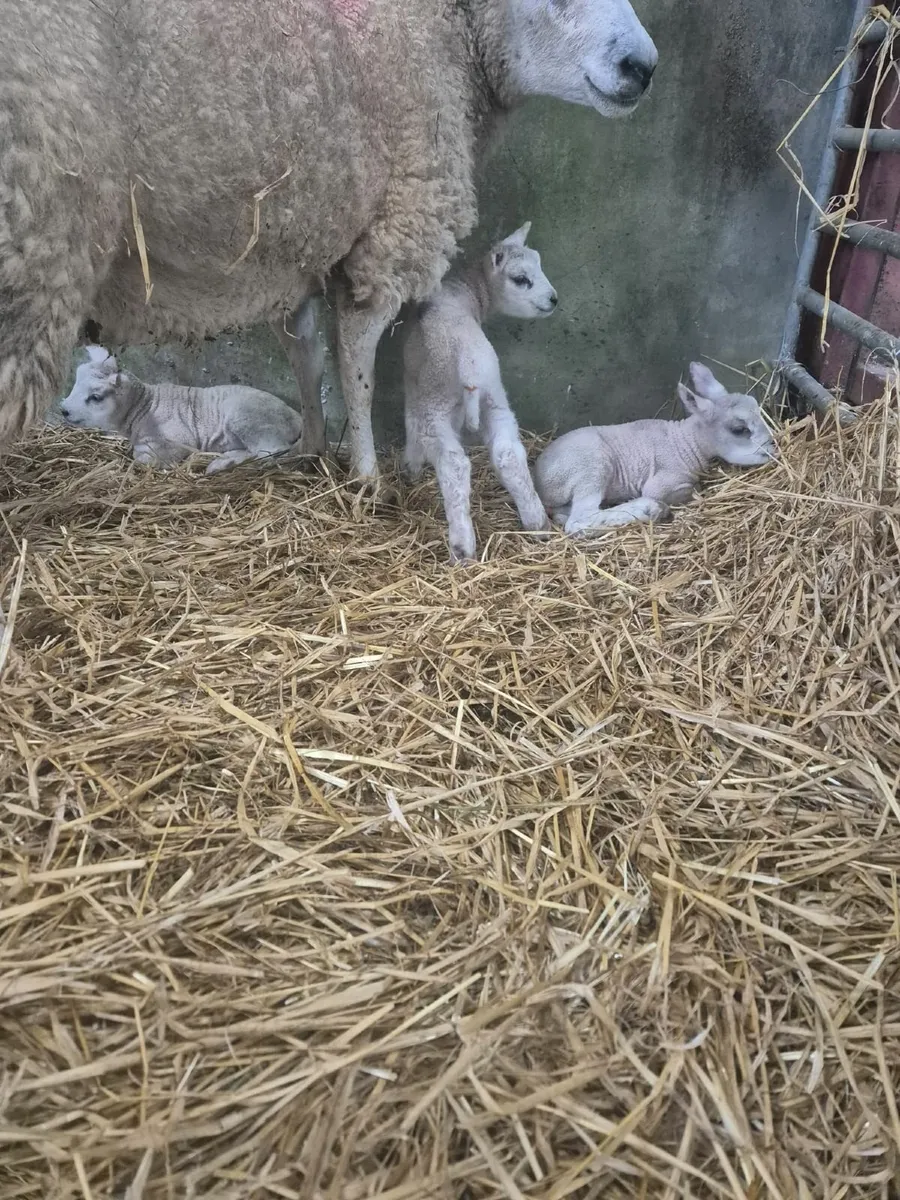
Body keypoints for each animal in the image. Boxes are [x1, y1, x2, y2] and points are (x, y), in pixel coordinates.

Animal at [59, 347, 302, 474]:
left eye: (96, 397)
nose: (64, 410)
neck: (144, 407)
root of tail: (296, 416)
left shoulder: (178, 439)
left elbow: (142, 458)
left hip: (248, 417)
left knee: (272, 451)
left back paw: (223, 463)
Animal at [403, 223, 555, 563]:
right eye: (521, 278)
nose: (554, 300)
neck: (467, 292)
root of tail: (468, 364)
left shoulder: (416, 390)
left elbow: (410, 429)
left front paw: (410, 468)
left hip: (436, 404)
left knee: (454, 466)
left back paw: (462, 548)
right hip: (493, 396)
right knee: (509, 454)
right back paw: (537, 523)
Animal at [534, 363, 778, 534]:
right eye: (739, 429)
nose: (774, 447)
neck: (686, 442)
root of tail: (538, 479)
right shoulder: (664, 482)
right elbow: (689, 490)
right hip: (590, 466)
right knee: (579, 520)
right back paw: (649, 509)